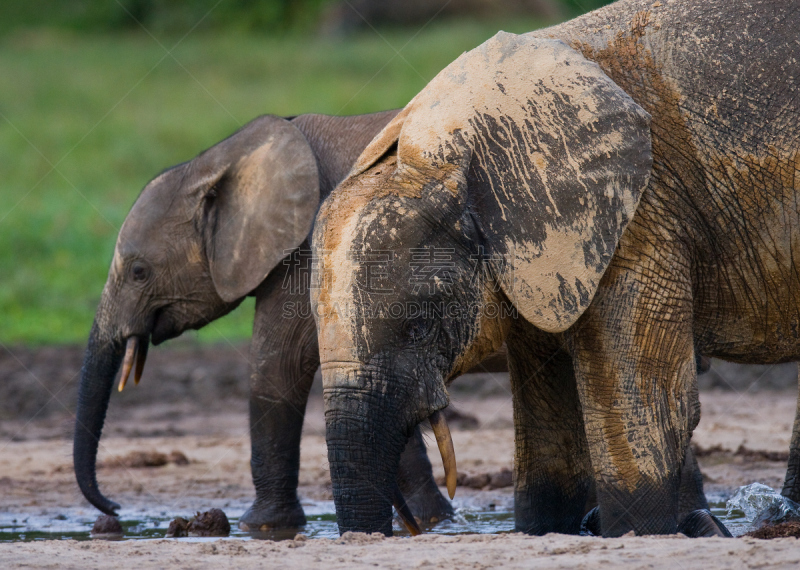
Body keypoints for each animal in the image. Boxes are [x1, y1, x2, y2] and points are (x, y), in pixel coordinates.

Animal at [76, 110, 466, 528]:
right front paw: (432, 520)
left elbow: (279, 365)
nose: (115, 507)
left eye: (139, 272)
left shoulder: (309, 252)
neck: (227, 156)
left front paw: (260, 525)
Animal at [314, 0, 800, 536]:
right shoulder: (538, 259)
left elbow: (645, 406)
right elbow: (550, 424)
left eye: (418, 328)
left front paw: (642, 530)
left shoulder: (641, 214)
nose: (415, 529)